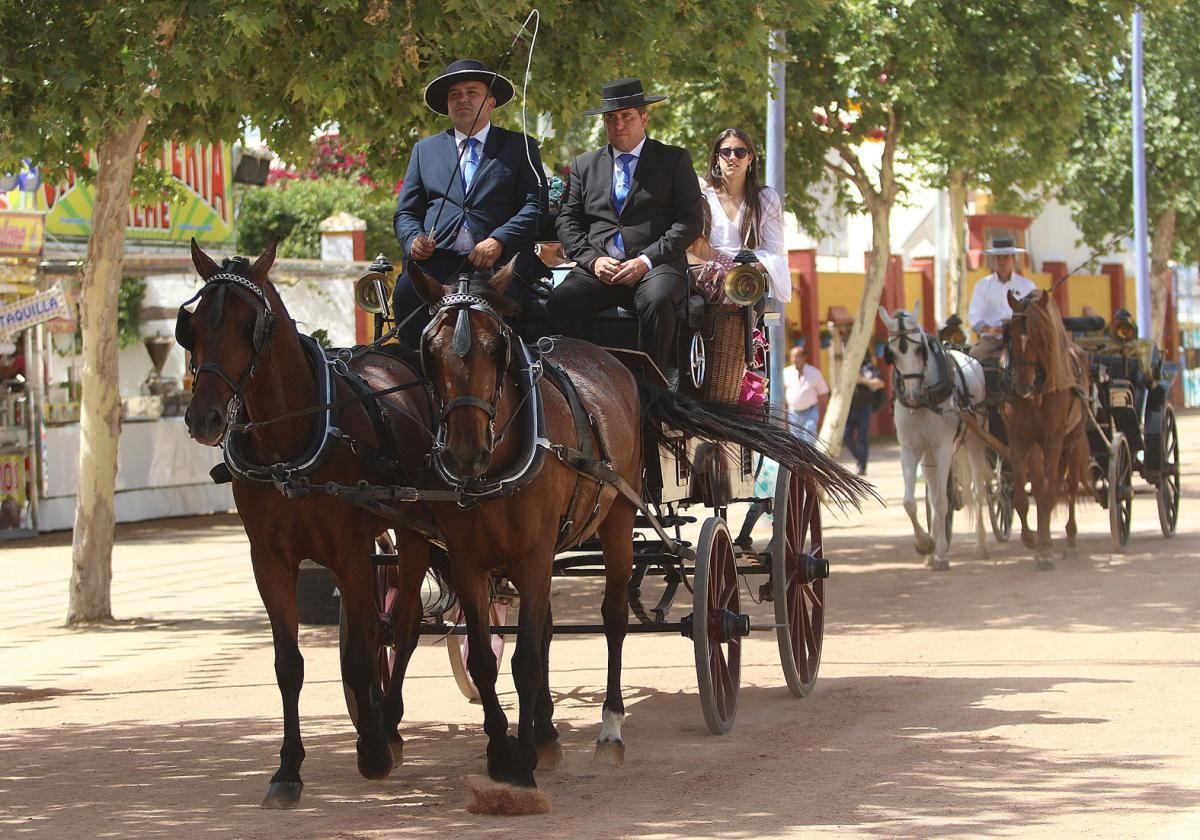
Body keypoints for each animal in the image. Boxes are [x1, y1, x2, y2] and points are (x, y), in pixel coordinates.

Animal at [180, 241, 434, 806]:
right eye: (193, 327)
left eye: (250, 324)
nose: (205, 418)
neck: (288, 444)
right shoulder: (270, 561)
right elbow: (289, 664)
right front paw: (288, 769)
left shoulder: (350, 553)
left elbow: (361, 655)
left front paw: (373, 751)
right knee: (379, 629)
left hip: (413, 533)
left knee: (404, 626)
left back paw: (388, 725)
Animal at [408, 260, 868, 806]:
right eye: (429, 348)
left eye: (496, 346)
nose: (464, 453)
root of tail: (618, 363)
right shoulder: (469, 561)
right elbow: (487, 658)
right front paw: (504, 755)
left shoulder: (534, 554)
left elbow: (526, 659)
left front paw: (522, 767)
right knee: (550, 630)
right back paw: (550, 733)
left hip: (619, 518)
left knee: (614, 619)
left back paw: (610, 731)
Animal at [878, 303, 988, 571]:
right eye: (891, 353)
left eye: (920, 349)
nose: (913, 395)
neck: (925, 400)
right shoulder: (910, 449)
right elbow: (911, 502)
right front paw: (926, 545)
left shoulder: (943, 448)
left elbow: (940, 502)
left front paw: (940, 554)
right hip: (928, 455)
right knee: (934, 492)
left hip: (974, 441)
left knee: (977, 491)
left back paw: (980, 545)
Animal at [998, 289, 1094, 571]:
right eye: (1009, 335)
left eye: (1040, 339)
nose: (1022, 386)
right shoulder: (1020, 440)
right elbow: (1024, 496)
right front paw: (1032, 539)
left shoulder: (1054, 439)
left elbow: (1049, 493)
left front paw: (1045, 550)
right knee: (1046, 485)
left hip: (1072, 440)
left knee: (1069, 486)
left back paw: (1069, 541)